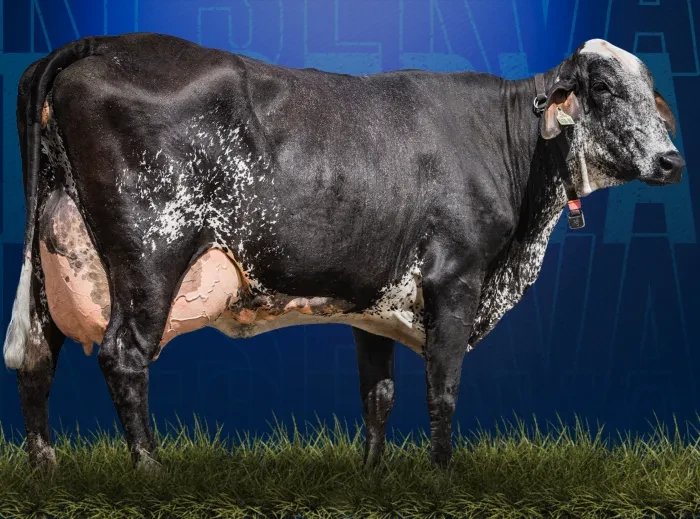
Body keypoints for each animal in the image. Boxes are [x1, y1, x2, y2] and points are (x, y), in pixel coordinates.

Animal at [3, 33, 684, 471]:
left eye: (651, 91)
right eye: (601, 88)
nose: (673, 160)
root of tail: (103, 43)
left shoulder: (372, 299)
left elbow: (377, 396)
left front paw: (372, 478)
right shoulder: (456, 279)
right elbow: (443, 390)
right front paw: (441, 479)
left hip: (53, 252)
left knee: (36, 353)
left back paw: (45, 471)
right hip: (150, 254)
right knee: (122, 354)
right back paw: (150, 473)